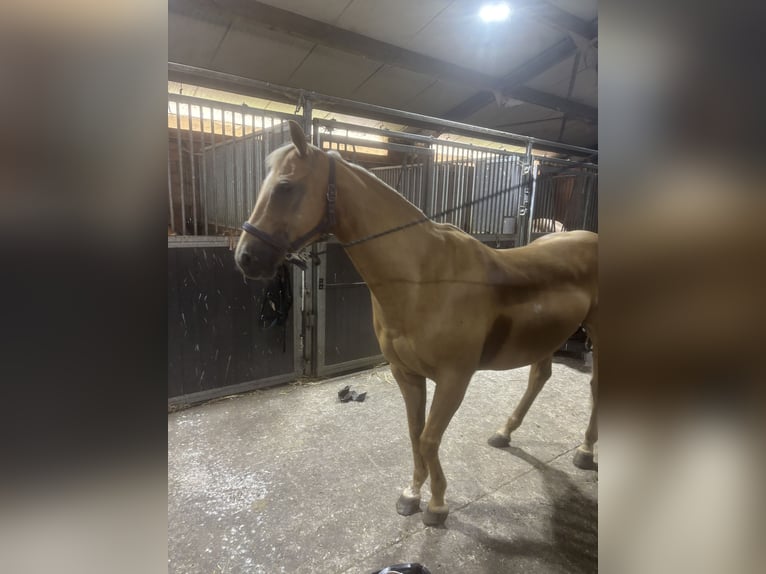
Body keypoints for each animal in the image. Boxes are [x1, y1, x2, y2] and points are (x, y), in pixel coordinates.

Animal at [235, 121, 598, 526]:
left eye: (286, 186)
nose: (245, 257)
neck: (424, 278)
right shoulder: (406, 373)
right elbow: (415, 433)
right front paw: (411, 494)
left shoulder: (454, 378)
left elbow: (429, 438)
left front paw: (437, 504)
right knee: (540, 376)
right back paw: (504, 432)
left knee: (596, 388)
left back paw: (586, 451)